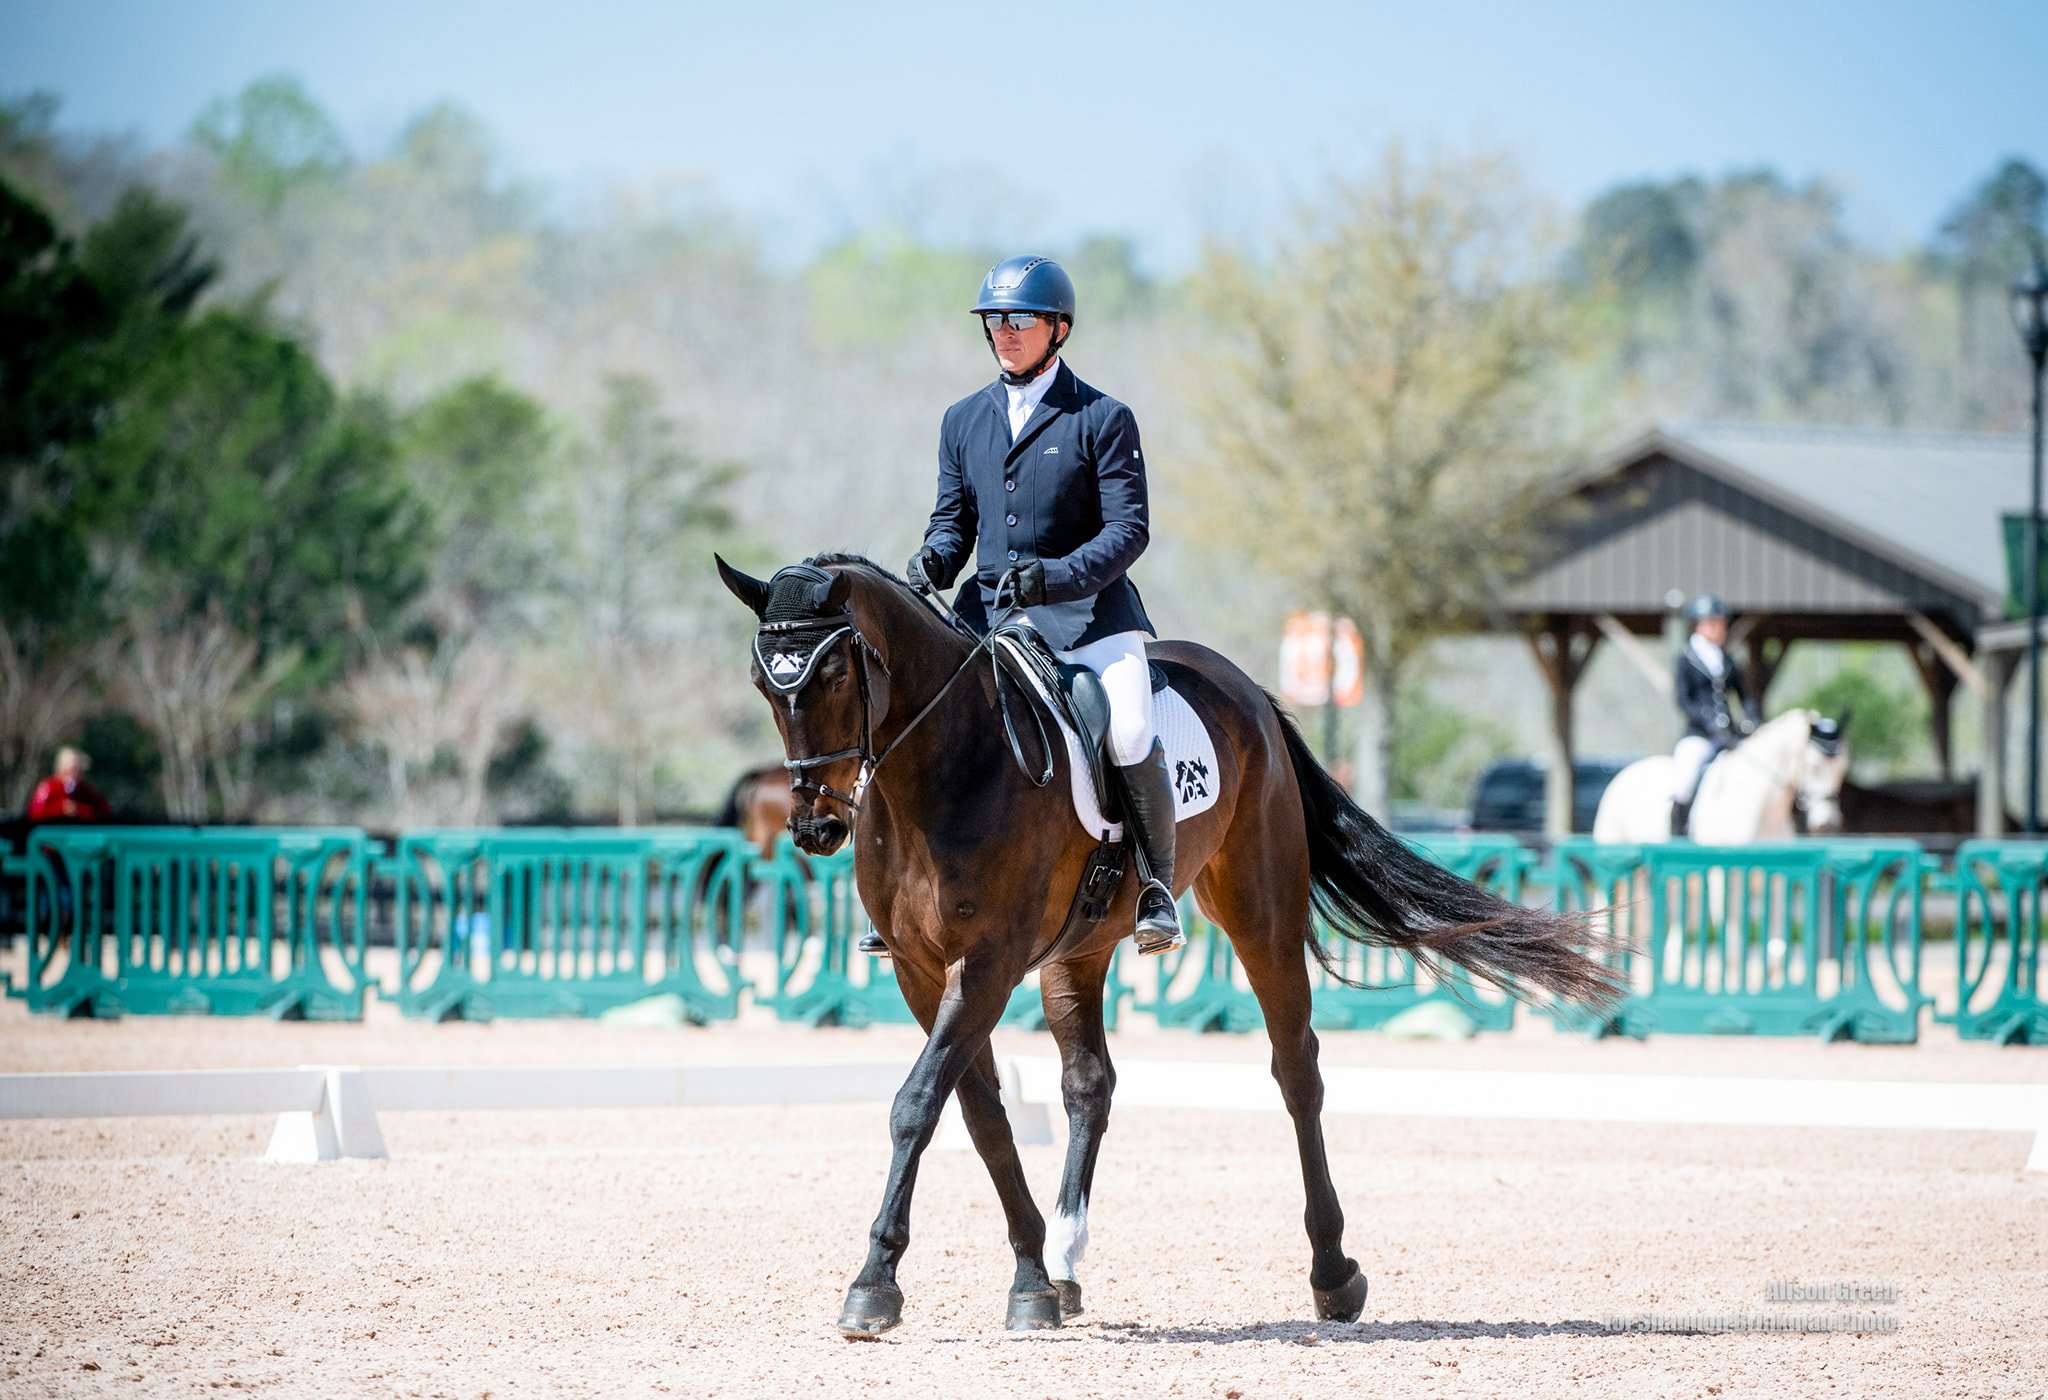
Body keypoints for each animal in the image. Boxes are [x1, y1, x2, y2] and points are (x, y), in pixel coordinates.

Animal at [712, 552, 1622, 1342]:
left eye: (834, 673)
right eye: (763, 682)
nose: (815, 826)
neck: (942, 769)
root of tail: (1247, 689)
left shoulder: (988, 962)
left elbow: (916, 1104)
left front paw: (874, 1285)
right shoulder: (919, 969)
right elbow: (978, 1115)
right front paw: (1031, 1281)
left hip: (1258, 910)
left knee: (1297, 1072)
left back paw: (1334, 1275)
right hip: (1076, 951)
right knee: (1091, 1085)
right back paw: (1067, 1264)